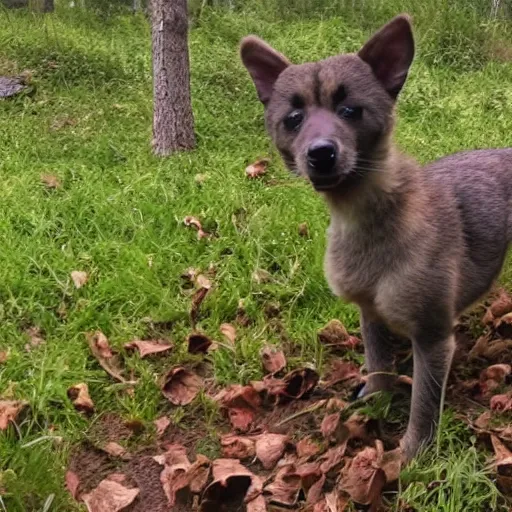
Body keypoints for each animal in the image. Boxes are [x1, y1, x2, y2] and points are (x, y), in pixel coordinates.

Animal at [240, 15, 512, 460]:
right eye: (294, 117)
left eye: (351, 110)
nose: (320, 153)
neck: (369, 224)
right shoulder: (370, 313)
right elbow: (379, 368)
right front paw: (373, 405)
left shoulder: (433, 338)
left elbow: (423, 404)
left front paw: (412, 456)